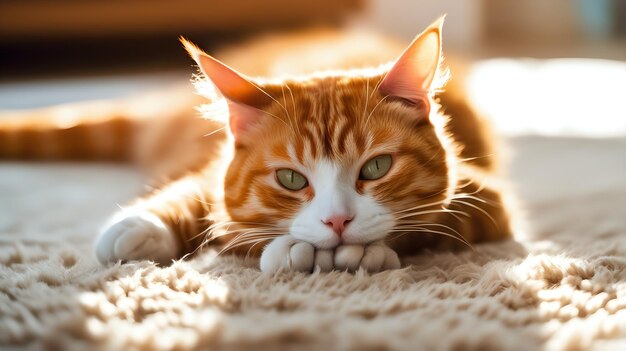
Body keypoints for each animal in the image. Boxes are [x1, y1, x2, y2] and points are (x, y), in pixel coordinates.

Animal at [1, 17, 512, 274]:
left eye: (375, 168)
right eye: (290, 178)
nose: (338, 221)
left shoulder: (485, 199)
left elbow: (422, 225)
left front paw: (356, 251)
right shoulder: (211, 177)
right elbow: (197, 197)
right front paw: (142, 227)